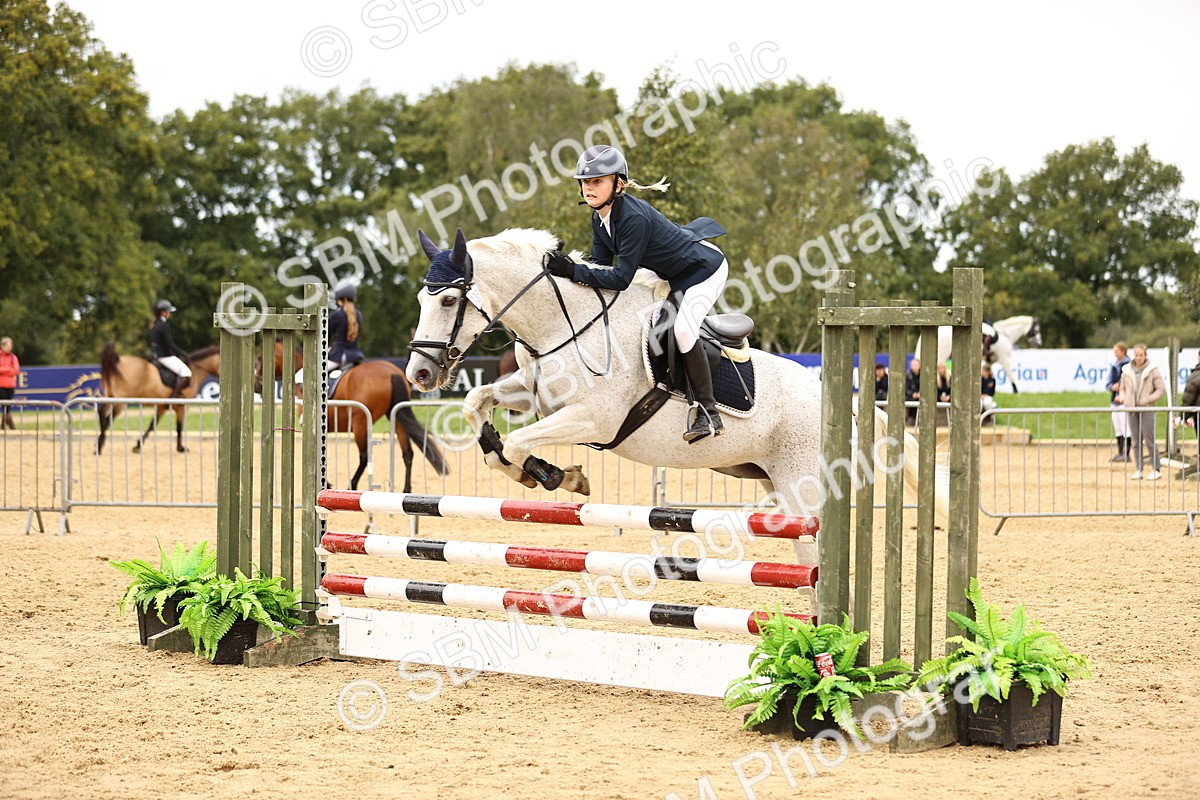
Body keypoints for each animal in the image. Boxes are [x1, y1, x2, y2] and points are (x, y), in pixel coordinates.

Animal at [257, 342, 447, 492]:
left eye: (260, 359)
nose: (257, 385)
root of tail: (392, 372)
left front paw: (328, 483)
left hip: (360, 422)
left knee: (364, 456)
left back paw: (352, 484)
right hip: (396, 415)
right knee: (407, 453)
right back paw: (406, 489)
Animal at [406, 228, 948, 566]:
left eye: (449, 300)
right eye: (420, 300)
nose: (419, 373)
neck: (563, 323)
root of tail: (851, 403)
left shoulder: (594, 419)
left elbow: (519, 445)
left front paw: (556, 475)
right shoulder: (537, 397)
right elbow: (478, 404)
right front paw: (528, 463)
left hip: (803, 491)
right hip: (773, 481)